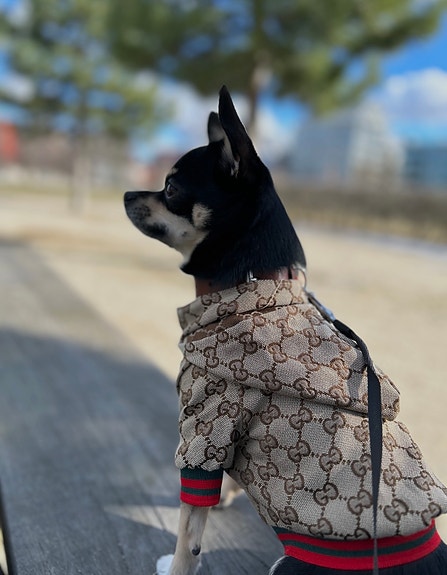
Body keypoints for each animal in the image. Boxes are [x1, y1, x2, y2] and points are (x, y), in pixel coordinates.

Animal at [124, 86, 447, 575]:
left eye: (171, 188)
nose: (126, 192)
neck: (257, 284)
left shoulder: (202, 428)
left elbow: (188, 533)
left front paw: (174, 565)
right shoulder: (224, 434)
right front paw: (228, 496)